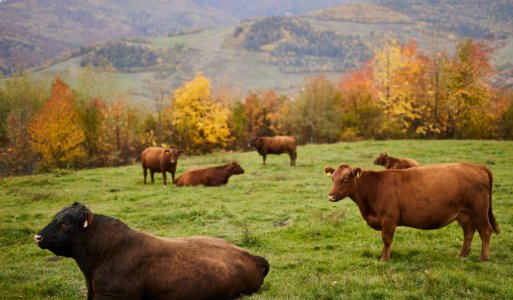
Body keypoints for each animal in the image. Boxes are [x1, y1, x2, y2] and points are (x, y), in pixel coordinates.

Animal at [326, 163, 498, 262]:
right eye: (332, 178)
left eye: (346, 178)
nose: (331, 196)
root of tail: (477, 166)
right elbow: (384, 240)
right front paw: (383, 256)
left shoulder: (389, 219)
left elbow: (387, 240)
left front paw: (384, 259)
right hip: (465, 214)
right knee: (469, 232)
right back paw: (462, 255)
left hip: (479, 212)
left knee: (485, 231)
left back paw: (483, 258)